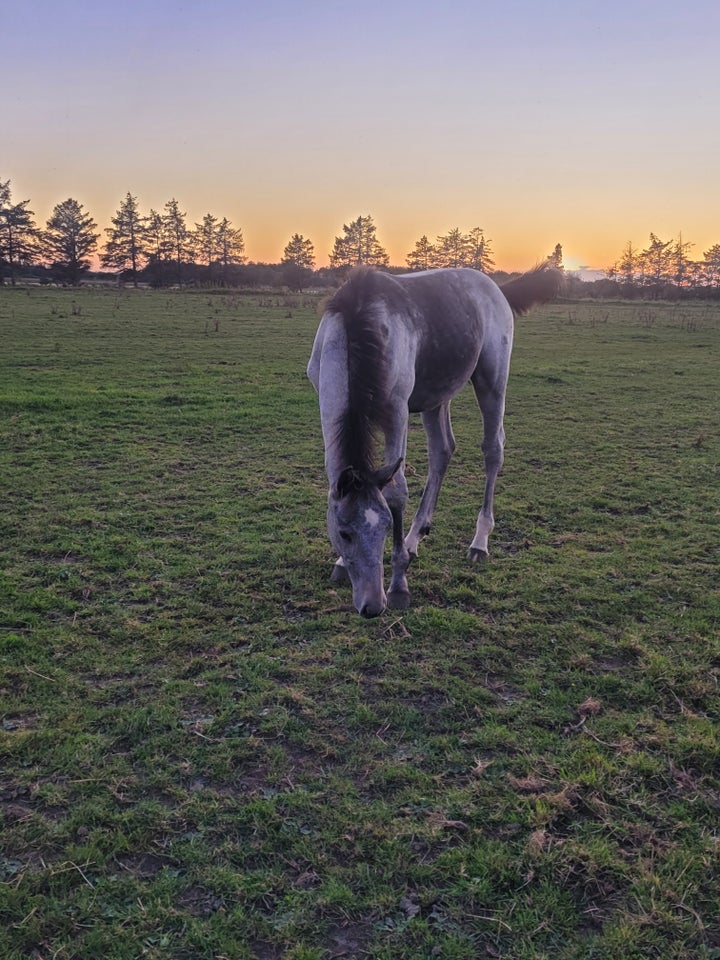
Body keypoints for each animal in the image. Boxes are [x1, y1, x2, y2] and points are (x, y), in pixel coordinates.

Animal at [306, 266, 560, 620]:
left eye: (386, 527)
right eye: (344, 532)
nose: (372, 606)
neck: (357, 328)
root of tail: (496, 288)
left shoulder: (397, 410)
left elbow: (397, 491)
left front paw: (399, 584)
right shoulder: (325, 400)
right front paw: (343, 561)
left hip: (492, 380)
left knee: (493, 449)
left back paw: (479, 541)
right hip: (435, 396)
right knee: (442, 450)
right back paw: (415, 538)